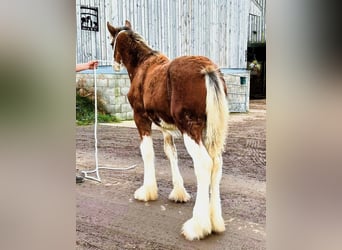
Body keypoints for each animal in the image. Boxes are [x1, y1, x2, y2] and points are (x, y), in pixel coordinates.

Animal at [107, 21, 230, 240]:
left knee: (204, 164)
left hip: (191, 128)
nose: (114, 64)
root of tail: (208, 69)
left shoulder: (141, 118)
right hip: (209, 132)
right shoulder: (165, 127)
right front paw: (178, 192)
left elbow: (147, 153)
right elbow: (171, 154)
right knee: (216, 164)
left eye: (111, 42)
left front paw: (147, 191)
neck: (142, 65)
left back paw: (198, 225)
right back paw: (215, 222)